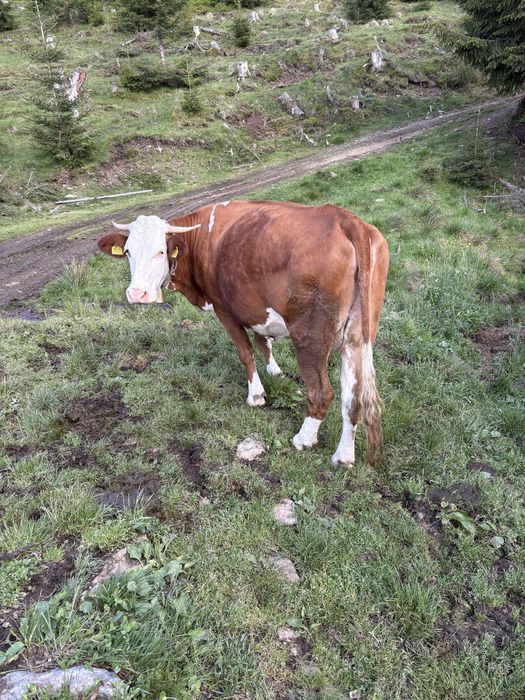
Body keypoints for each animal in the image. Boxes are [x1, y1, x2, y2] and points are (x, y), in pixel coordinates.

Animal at [97, 200, 389, 466]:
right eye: (128, 251)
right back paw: (343, 456)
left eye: (161, 251)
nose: (137, 294)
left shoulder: (223, 309)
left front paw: (256, 395)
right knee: (353, 397)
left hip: (309, 337)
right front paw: (275, 371)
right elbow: (263, 341)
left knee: (321, 391)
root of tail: (344, 218)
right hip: (357, 336)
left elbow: (245, 352)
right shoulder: (255, 308)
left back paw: (304, 439)